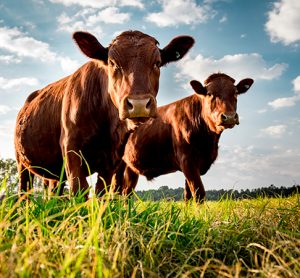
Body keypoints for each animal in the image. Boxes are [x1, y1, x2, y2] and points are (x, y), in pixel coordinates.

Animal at [15, 30, 195, 198]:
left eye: (157, 63)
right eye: (112, 63)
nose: (139, 104)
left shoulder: (111, 160)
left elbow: (102, 192)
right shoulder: (71, 148)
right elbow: (79, 189)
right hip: (22, 162)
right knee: (24, 191)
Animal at [113, 73, 254, 201]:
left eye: (235, 92)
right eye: (210, 94)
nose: (229, 117)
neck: (208, 142)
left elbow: (188, 196)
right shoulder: (187, 160)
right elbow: (199, 194)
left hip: (131, 167)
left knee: (126, 192)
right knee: (115, 190)